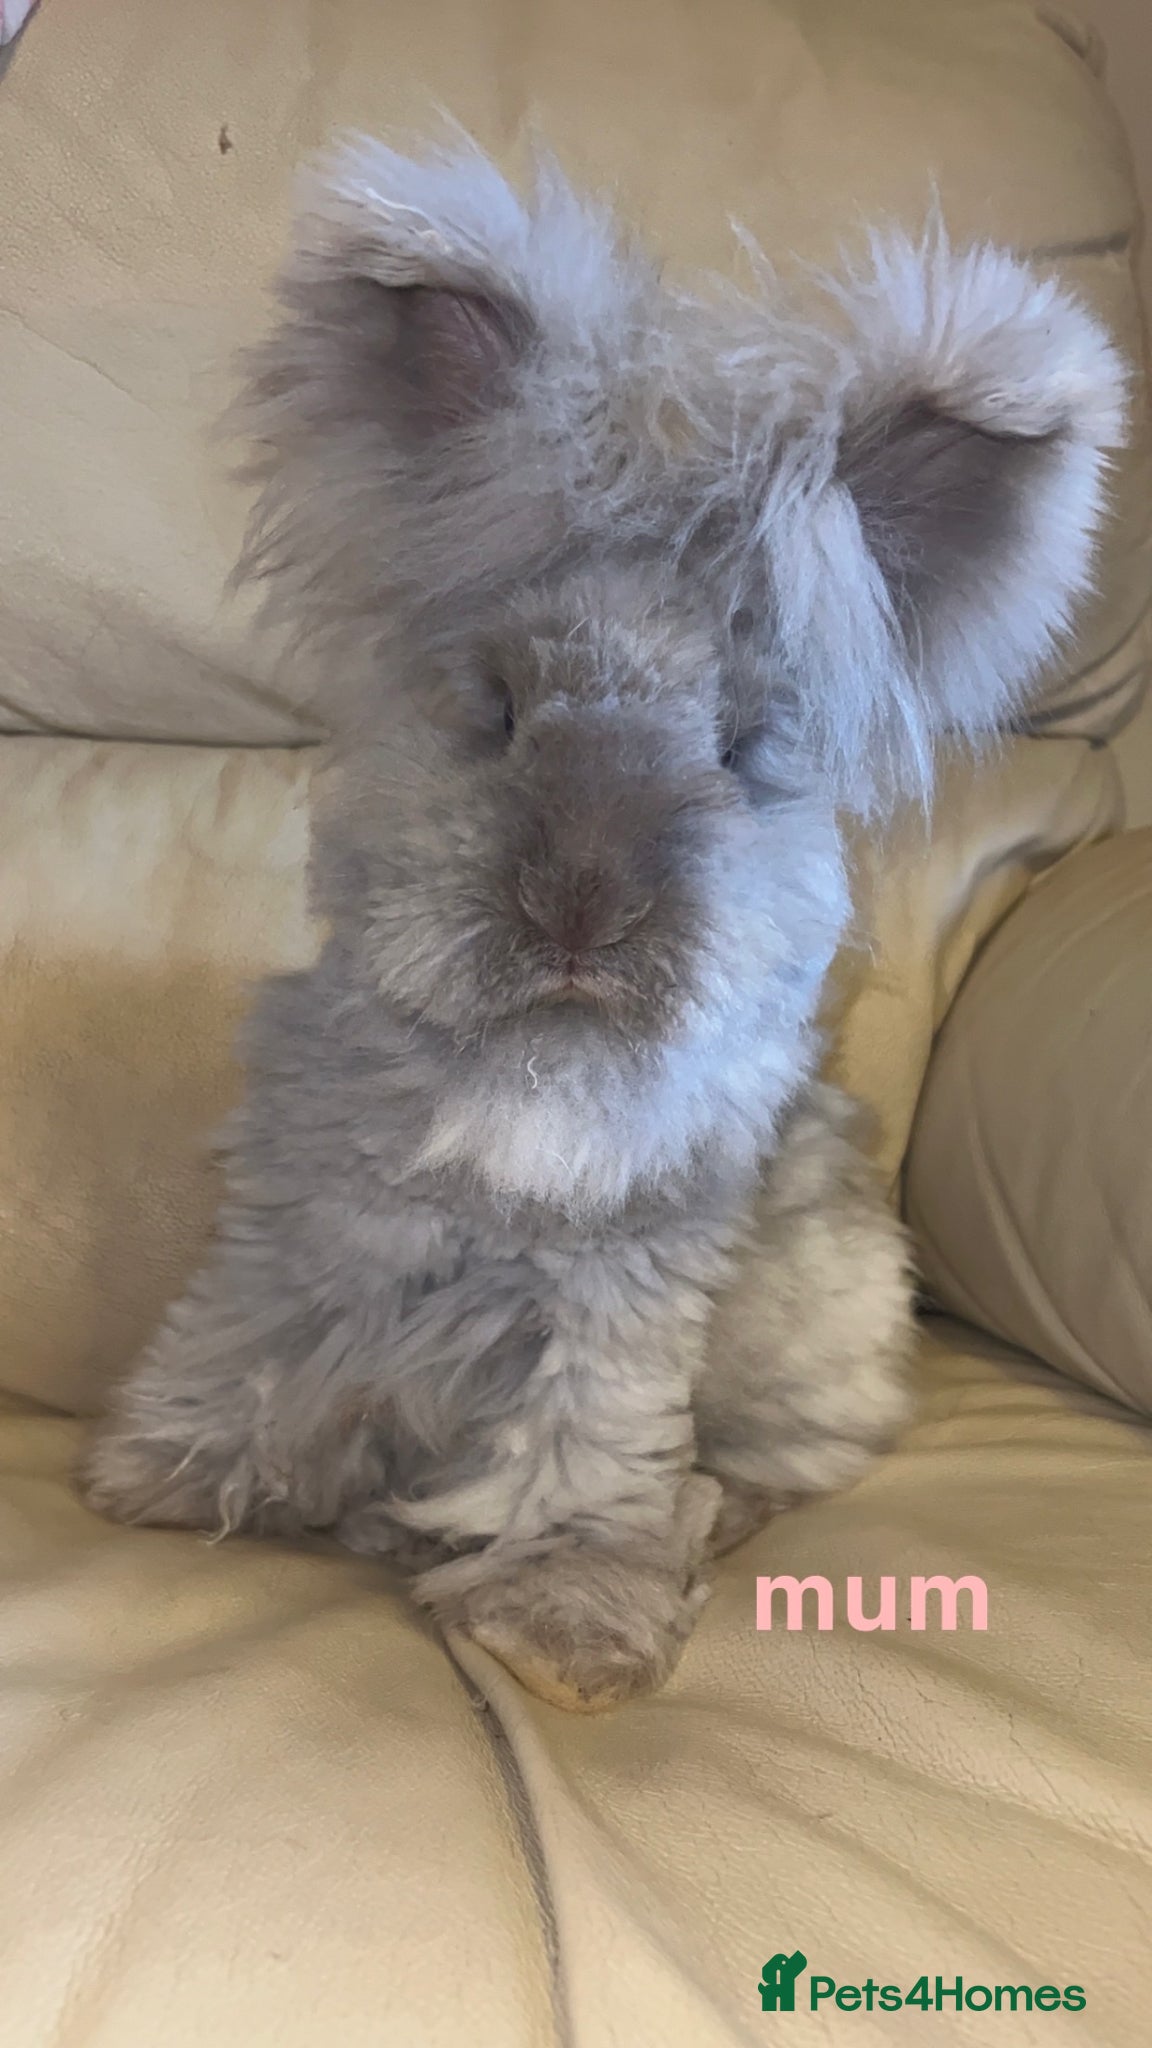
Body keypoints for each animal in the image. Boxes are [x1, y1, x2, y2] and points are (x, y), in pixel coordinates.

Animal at [79, 137, 1126, 1711]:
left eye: (745, 745)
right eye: (498, 708)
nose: (582, 900)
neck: (539, 1069)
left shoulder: (624, 1287)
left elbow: (585, 1444)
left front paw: (566, 1629)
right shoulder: (322, 1215)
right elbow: (254, 1328)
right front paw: (166, 1475)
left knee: (792, 1454)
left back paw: (705, 1516)